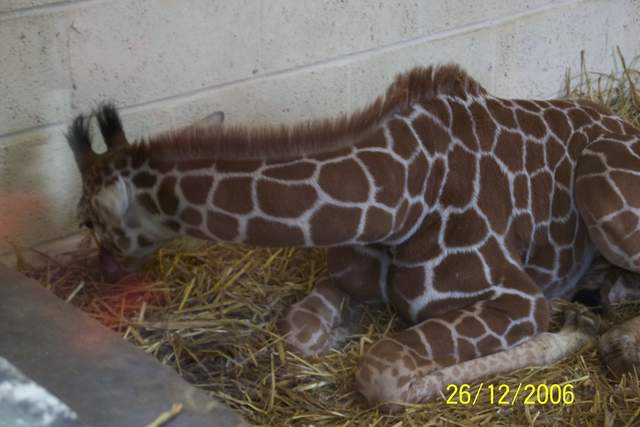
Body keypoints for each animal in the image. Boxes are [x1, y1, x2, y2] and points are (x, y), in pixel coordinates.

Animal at [66, 64, 640, 405]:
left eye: (87, 220)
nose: (104, 272)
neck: (401, 198)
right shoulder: (346, 282)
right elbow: (299, 331)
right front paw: (339, 331)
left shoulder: (516, 298)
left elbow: (384, 374)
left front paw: (569, 330)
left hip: (602, 189)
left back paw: (612, 338)